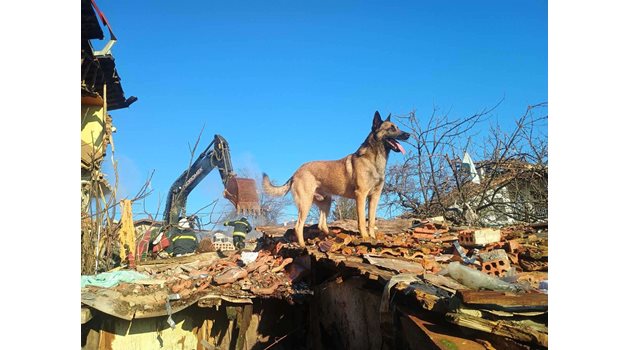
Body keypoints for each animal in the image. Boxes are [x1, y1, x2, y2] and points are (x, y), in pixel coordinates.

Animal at [264, 111, 412, 246]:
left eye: (397, 127)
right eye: (391, 128)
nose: (408, 135)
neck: (374, 159)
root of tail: (295, 172)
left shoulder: (374, 196)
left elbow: (371, 220)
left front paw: (373, 237)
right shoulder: (361, 195)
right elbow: (362, 220)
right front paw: (365, 237)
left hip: (326, 201)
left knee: (322, 224)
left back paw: (333, 236)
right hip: (306, 203)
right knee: (298, 226)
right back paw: (303, 246)